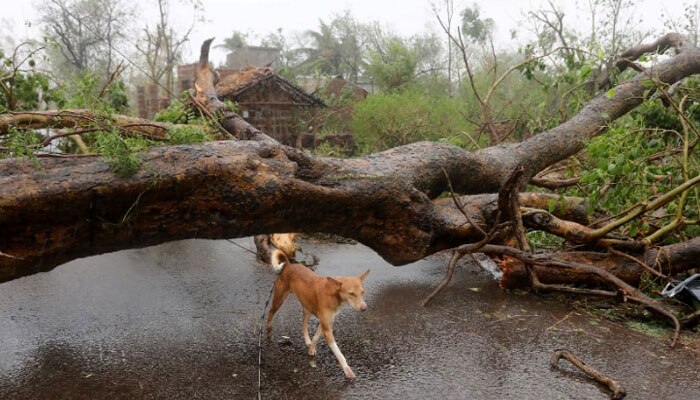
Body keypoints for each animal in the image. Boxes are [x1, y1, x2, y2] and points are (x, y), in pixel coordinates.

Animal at [264, 250, 372, 378]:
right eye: (351, 294)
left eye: (362, 292)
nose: (364, 308)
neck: (332, 293)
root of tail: (289, 265)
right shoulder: (327, 330)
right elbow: (339, 353)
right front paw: (347, 370)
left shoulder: (324, 323)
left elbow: (315, 337)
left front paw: (311, 348)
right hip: (279, 300)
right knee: (270, 312)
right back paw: (268, 328)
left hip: (307, 308)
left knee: (304, 326)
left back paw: (307, 341)